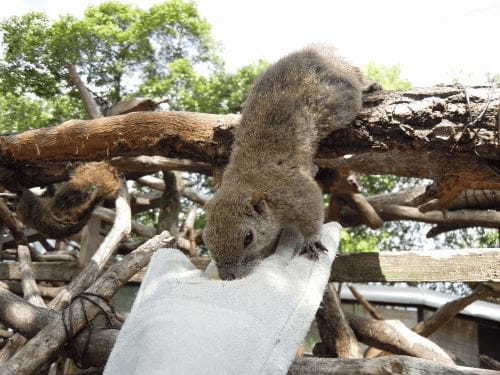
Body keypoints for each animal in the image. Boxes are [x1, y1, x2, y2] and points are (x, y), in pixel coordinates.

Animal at [202, 46, 368, 280]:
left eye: (248, 237)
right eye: (206, 239)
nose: (228, 277)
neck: (244, 181)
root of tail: (317, 51)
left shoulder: (293, 191)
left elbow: (312, 208)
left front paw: (312, 241)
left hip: (343, 98)